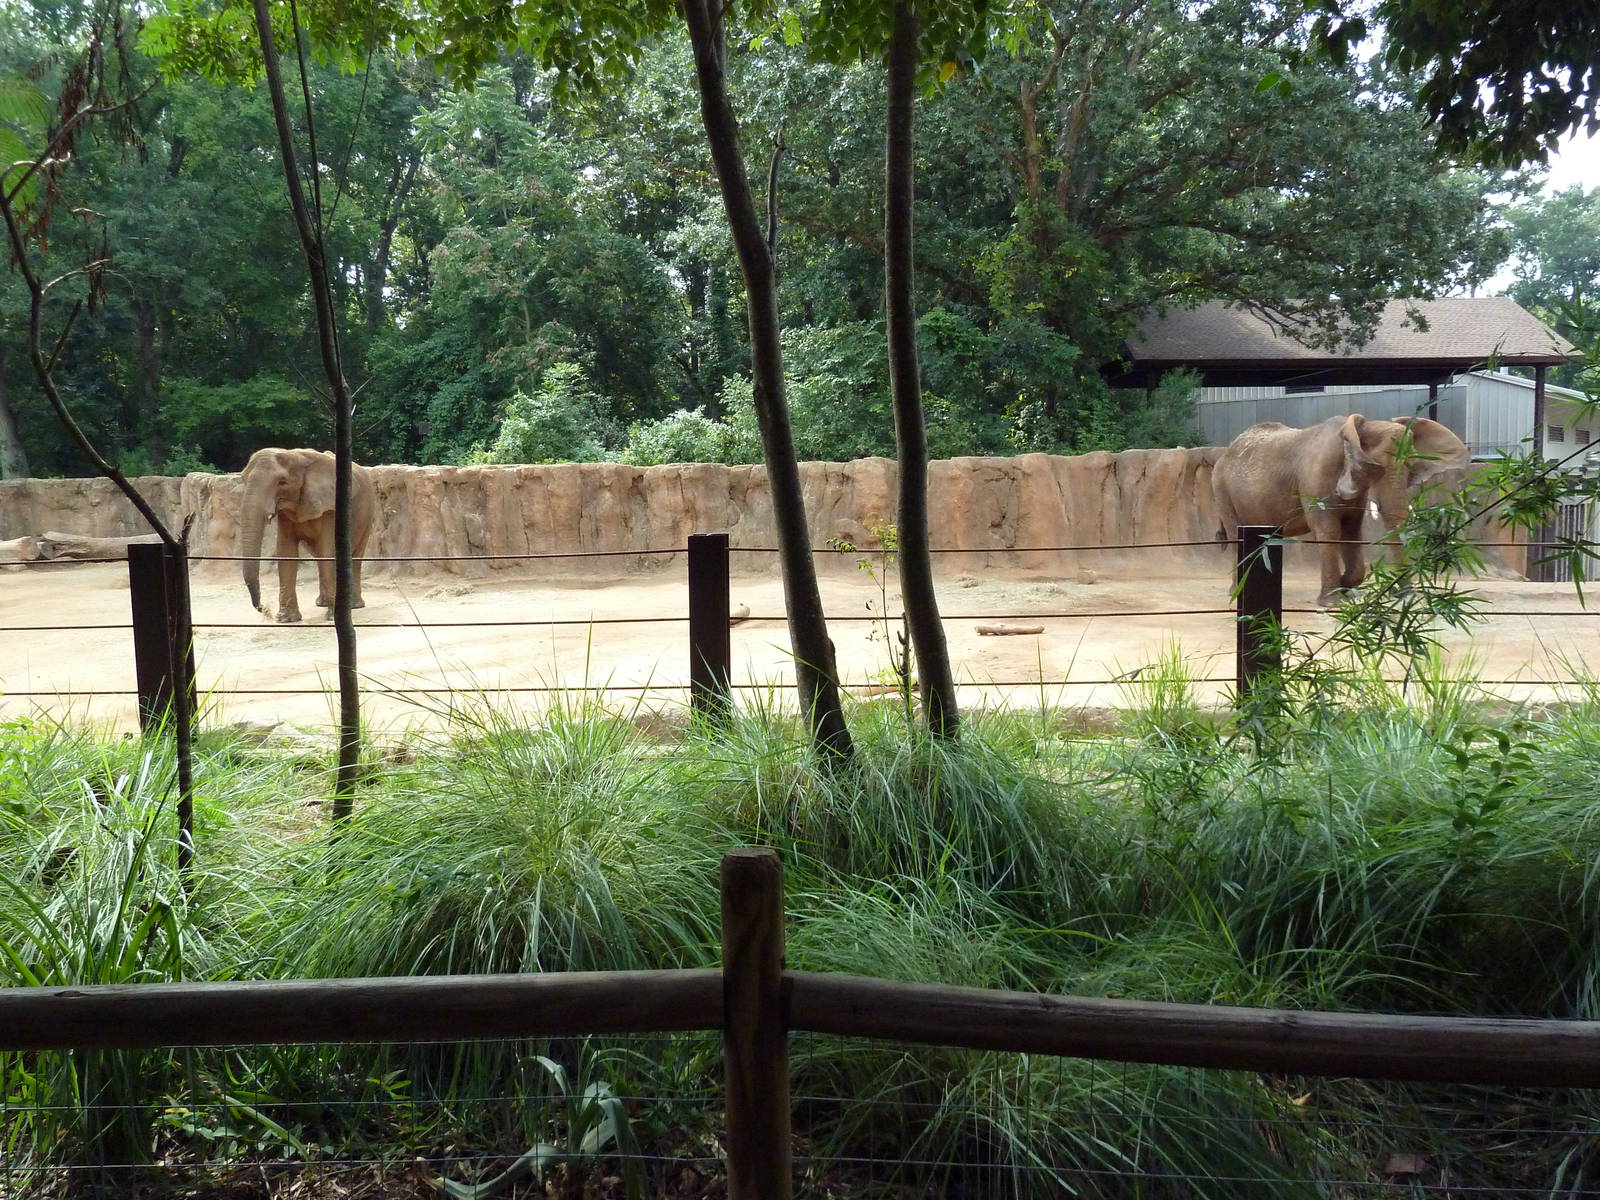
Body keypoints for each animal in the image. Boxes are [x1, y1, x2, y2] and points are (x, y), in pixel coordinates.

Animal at [239, 448, 376, 623]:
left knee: (355, 556)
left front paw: (332, 617)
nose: (264, 609)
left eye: (282, 482)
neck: (295, 456)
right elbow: (286, 551)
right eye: (243, 479)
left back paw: (354, 606)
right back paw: (322, 603)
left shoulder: (330, 505)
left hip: (367, 514)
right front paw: (285, 619)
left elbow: (328, 550)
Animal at [1212, 414, 1470, 608]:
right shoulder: (1317, 478)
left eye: (1410, 465)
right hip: (1222, 490)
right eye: (1375, 469)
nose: (1402, 595)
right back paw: (1236, 592)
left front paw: (1349, 589)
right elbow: (1329, 531)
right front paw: (1334, 601)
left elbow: (1352, 530)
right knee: (1236, 534)